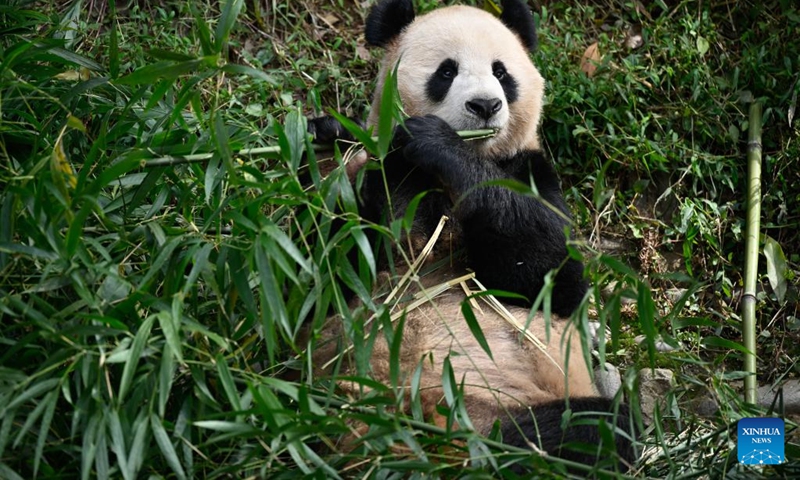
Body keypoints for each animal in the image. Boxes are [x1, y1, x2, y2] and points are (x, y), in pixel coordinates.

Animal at [307, 0, 636, 472]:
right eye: (446, 71)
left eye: (502, 72)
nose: (485, 105)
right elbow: (322, 275)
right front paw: (329, 134)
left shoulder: (530, 172)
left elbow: (550, 279)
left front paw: (438, 143)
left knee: (595, 431)